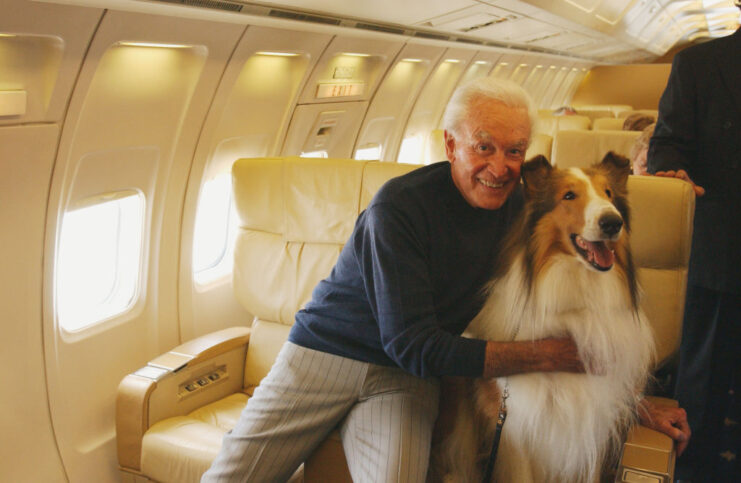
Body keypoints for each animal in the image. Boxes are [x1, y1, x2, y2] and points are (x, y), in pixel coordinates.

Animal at [434, 154, 652, 483]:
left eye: (609, 193)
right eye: (569, 195)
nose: (613, 222)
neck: (578, 303)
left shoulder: (594, 421)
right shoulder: (517, 425)